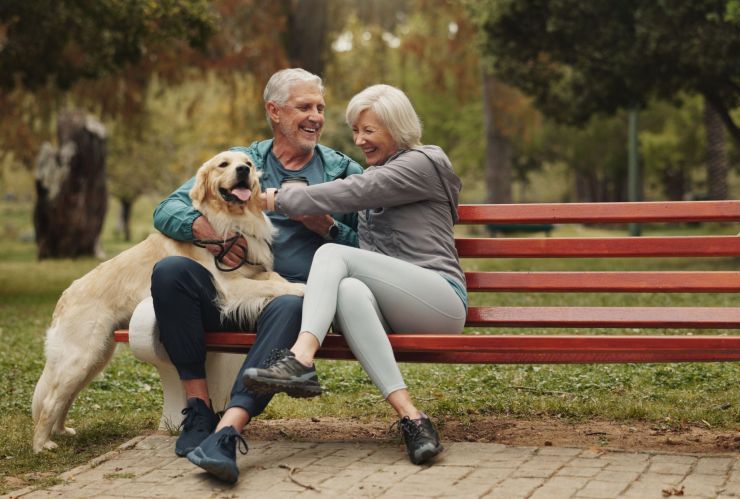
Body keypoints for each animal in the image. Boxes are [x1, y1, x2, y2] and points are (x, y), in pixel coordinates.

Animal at [31, 150, 304, 456]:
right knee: (51, 401)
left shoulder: (253, 270)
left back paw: (61, 431)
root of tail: (65, 295)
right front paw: (302, 288)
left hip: (96, 358)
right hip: (80, 357)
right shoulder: (230, 286)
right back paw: (41, 445)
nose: (244, 170)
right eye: (223, 164)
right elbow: (273, 284)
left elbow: (273, 277)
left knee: (64, 397)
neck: (231, 219)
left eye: (246, 162)